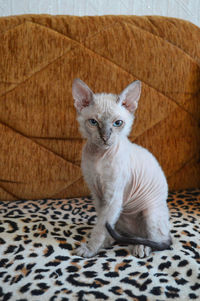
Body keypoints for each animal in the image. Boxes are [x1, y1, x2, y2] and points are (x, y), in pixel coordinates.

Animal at [72, 78, 172, 258]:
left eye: (117, 123)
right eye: (93, 122)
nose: (105, 137)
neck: (99, 157)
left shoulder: (113, 196)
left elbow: (100, 228)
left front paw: (90, 249)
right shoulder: (97, 193)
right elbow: (101, 222)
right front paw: (101, 244)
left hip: (151, 211)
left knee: (159, 240)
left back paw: (141, 247)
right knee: (123, 232)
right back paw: (115, 240)